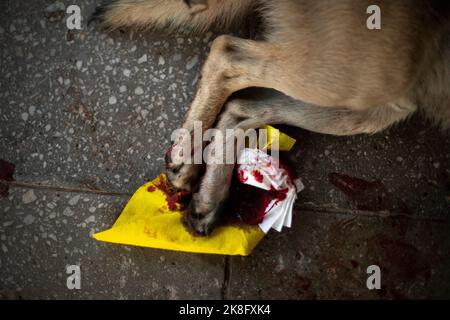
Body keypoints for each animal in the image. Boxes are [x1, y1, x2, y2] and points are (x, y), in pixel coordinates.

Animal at [96, 0, 450, 235]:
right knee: (226, 53)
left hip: (374, 98)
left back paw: (209, 195)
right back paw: (187, 155)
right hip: (363, 76)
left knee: (241, 109)